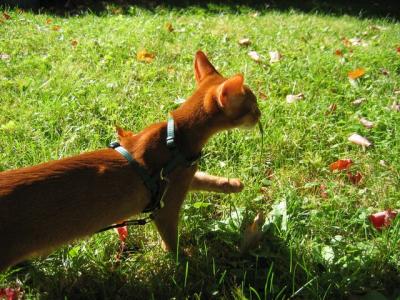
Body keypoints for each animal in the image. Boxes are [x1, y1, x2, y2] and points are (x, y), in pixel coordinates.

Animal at [0, 51, 260, 272]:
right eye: (253, 106)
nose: (260, 115)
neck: (176, 136)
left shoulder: (180, 176)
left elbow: (202, 178)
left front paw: (232, 184)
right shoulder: (166, 206)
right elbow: (172, 244)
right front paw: (189, 264)